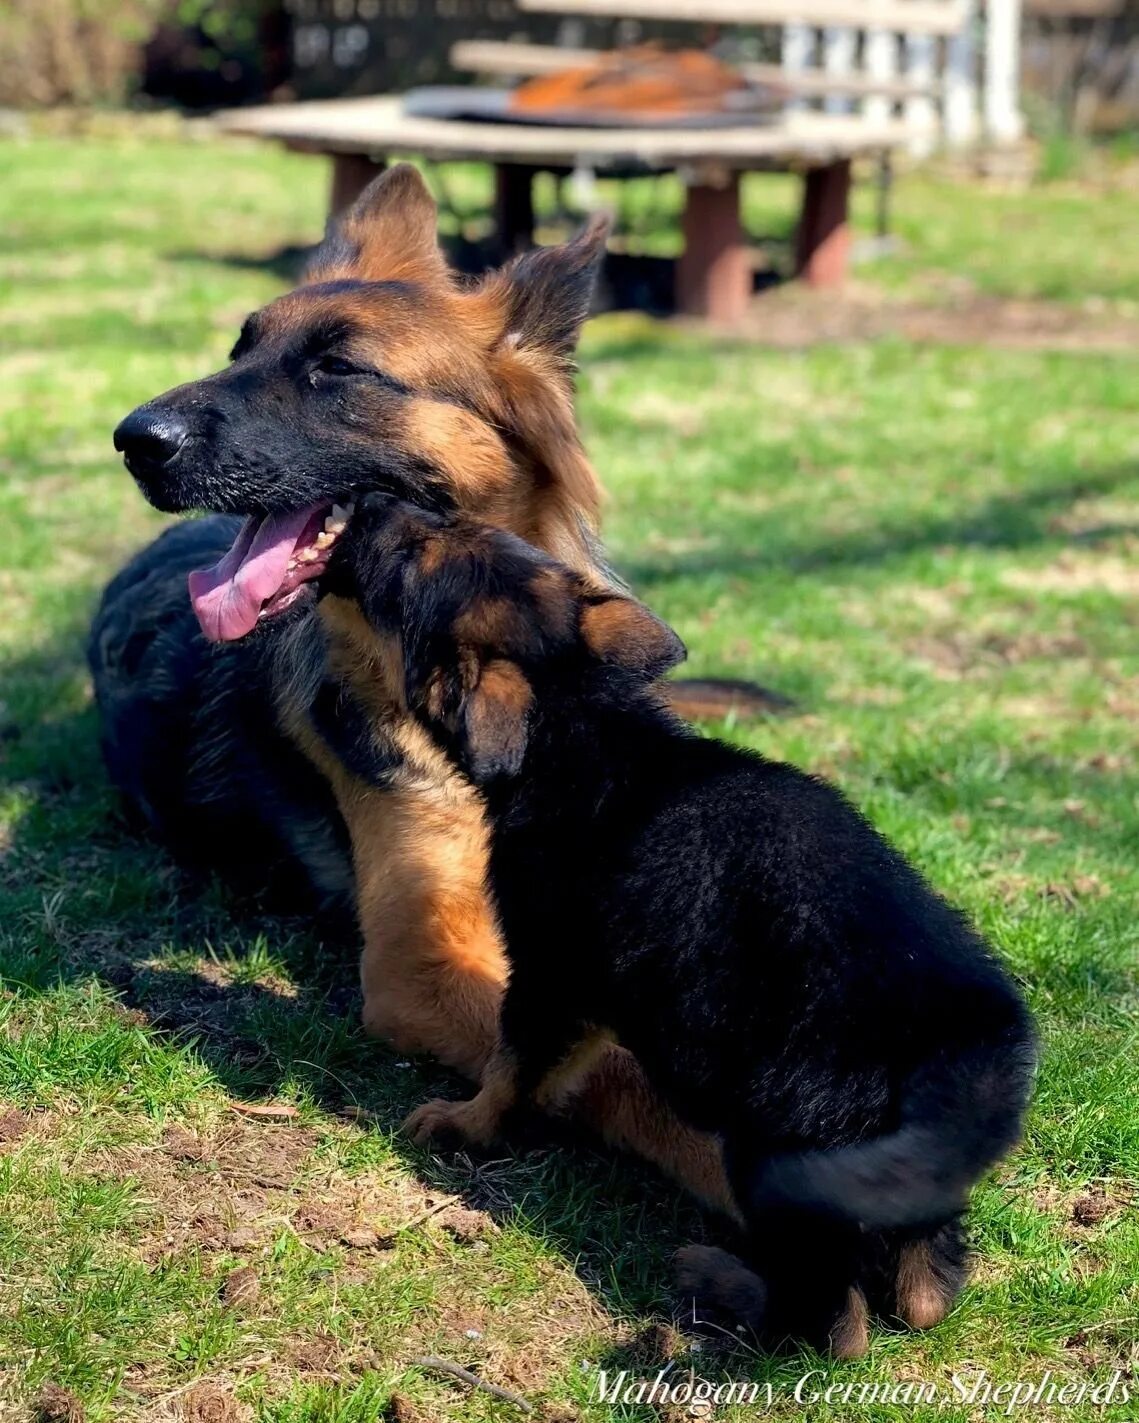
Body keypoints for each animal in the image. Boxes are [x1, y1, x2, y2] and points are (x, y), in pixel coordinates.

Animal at [313, 495, 1042, 1360]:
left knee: (836, 1322)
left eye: (408, 561)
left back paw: (717, 1285)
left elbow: (510, 1064)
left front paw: (465, 1123)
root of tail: (964, 1043)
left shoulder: (549, 972)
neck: (586, 722)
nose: (367, 503)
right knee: (926, 1288)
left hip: (784, 1148)